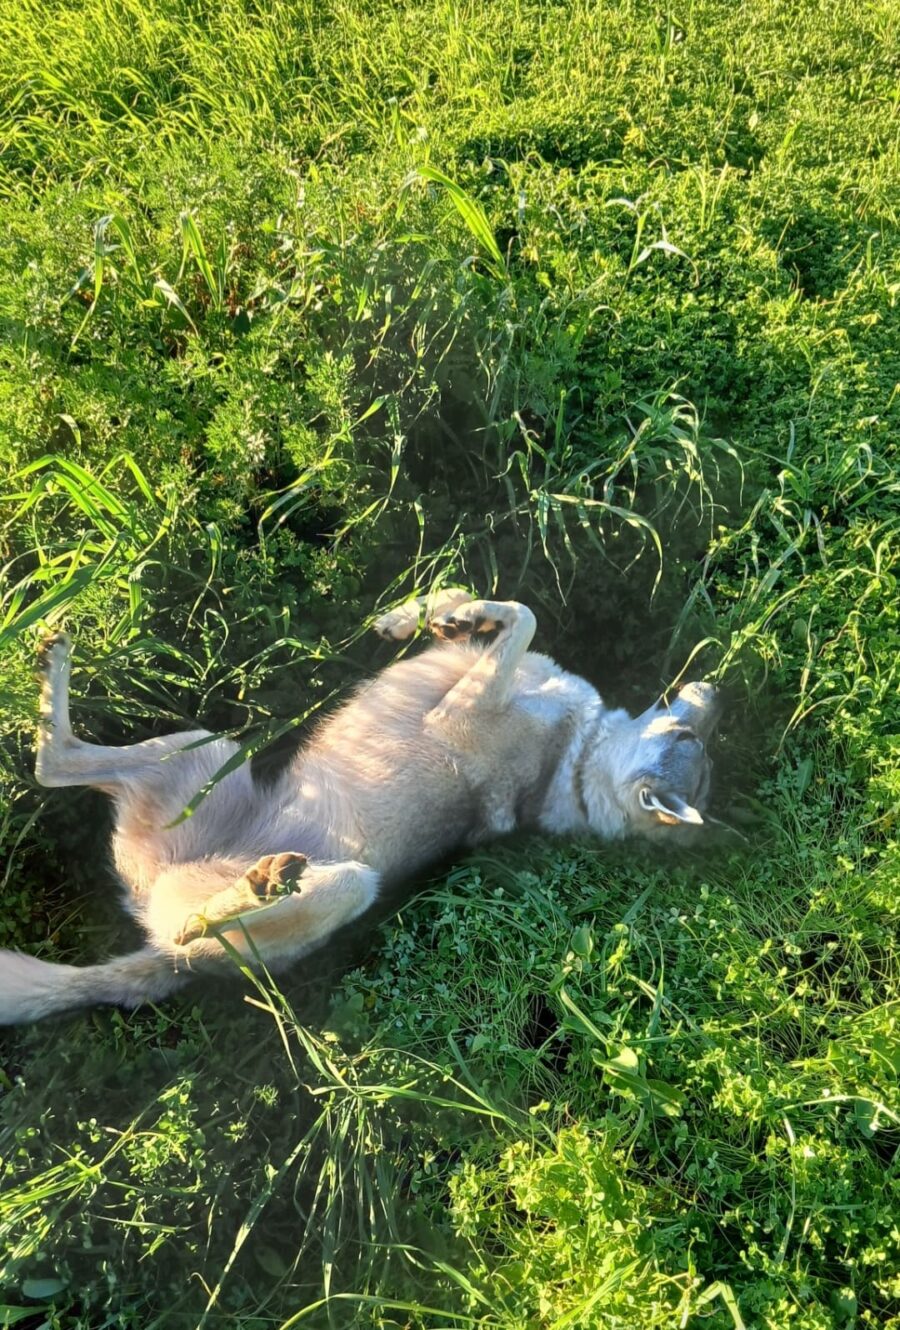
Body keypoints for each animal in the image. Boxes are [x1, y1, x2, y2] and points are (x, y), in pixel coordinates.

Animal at [0, 591, 720, 1023]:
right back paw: (50, 658)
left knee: (183, 914)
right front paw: (428, 614)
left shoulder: (463, 707)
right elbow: (501, 608)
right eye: (692, 736)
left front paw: (448, 614)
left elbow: (524, 615)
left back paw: (261, 882)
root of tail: (164, 959)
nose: (713, 688)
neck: (578, 758)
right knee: (54, 761)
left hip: (337, 877)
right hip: (201, 753)